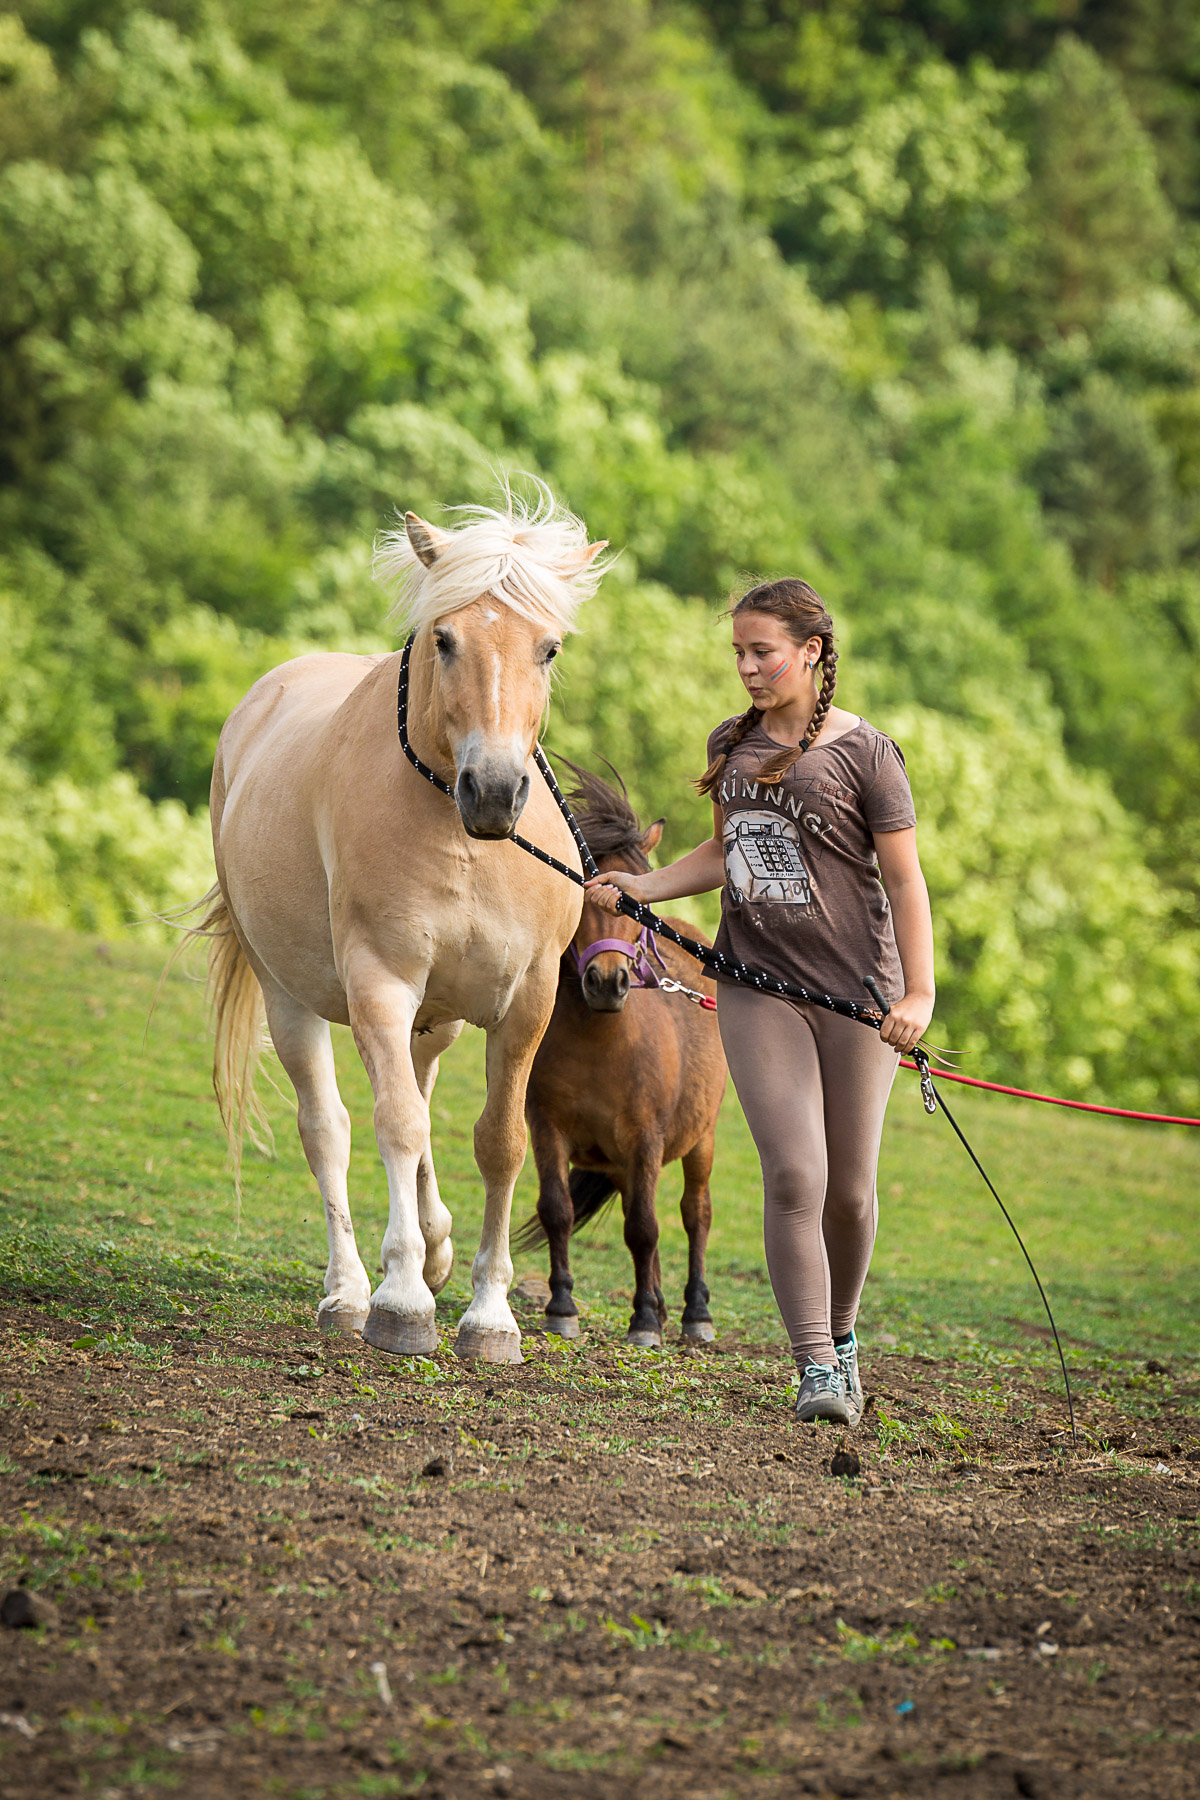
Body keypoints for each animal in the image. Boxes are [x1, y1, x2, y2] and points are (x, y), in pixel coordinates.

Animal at [189, 489, 608, 1364]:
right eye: (445, 639)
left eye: (548, 648)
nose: (495, 791)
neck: (462, 837)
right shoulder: (379, 985)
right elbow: (394, 1124)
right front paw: (404, 1301)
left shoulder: (527, 1003)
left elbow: (498, 1141)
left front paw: (489, 1314)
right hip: (292, 997)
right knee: (332, 1130)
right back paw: (350, 1290)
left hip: (435, 1020)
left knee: (418, 1091)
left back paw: (434, 1246)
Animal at [518, 766, 727, 1348]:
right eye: (581, 894)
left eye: (639, 906)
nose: (608, 982)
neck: (602, 1044)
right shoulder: (547, 1128)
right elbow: (557, 1211)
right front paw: (562, 1307)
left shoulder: (645, 1138)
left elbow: (646, 1227)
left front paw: (645, 1323)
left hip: (701, 1139)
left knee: (693, 1214)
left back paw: (692, 1314)